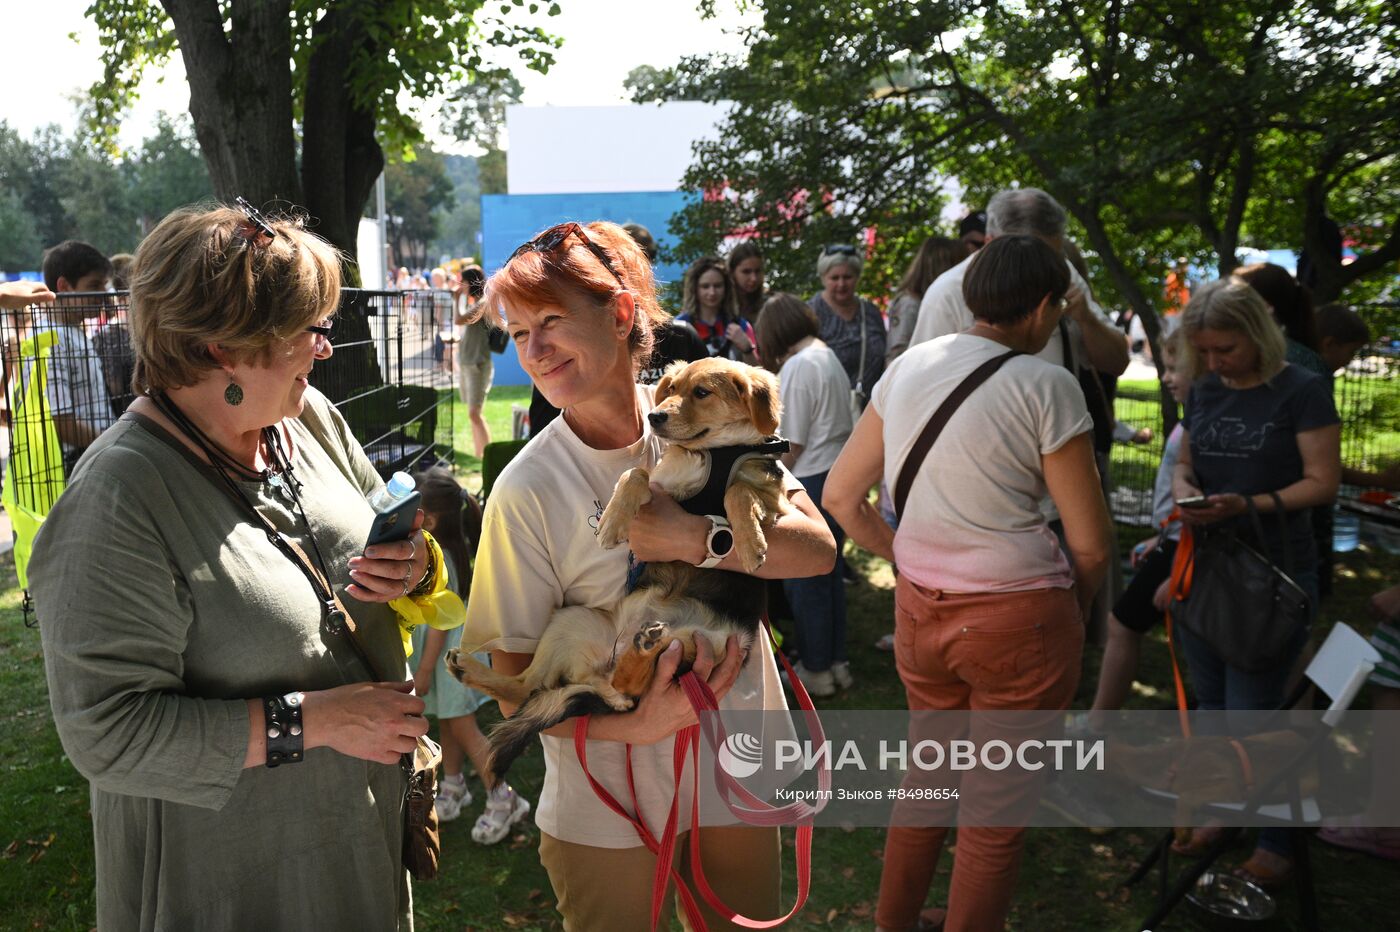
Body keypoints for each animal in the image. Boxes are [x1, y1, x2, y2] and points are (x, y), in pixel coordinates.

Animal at [453, 358, 795, 772]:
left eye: (702, 392)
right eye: (672, 388)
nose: (655, 416)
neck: (713, 453)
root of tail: (602, 668)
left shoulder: (777, 501)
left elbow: (738, 490)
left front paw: (750, 545)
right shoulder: (663, 484)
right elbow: (635, 473)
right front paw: (613, 522)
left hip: (705, 644)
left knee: (621, 687)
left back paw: (644, 647)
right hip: (574, 619)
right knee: (536, 686)